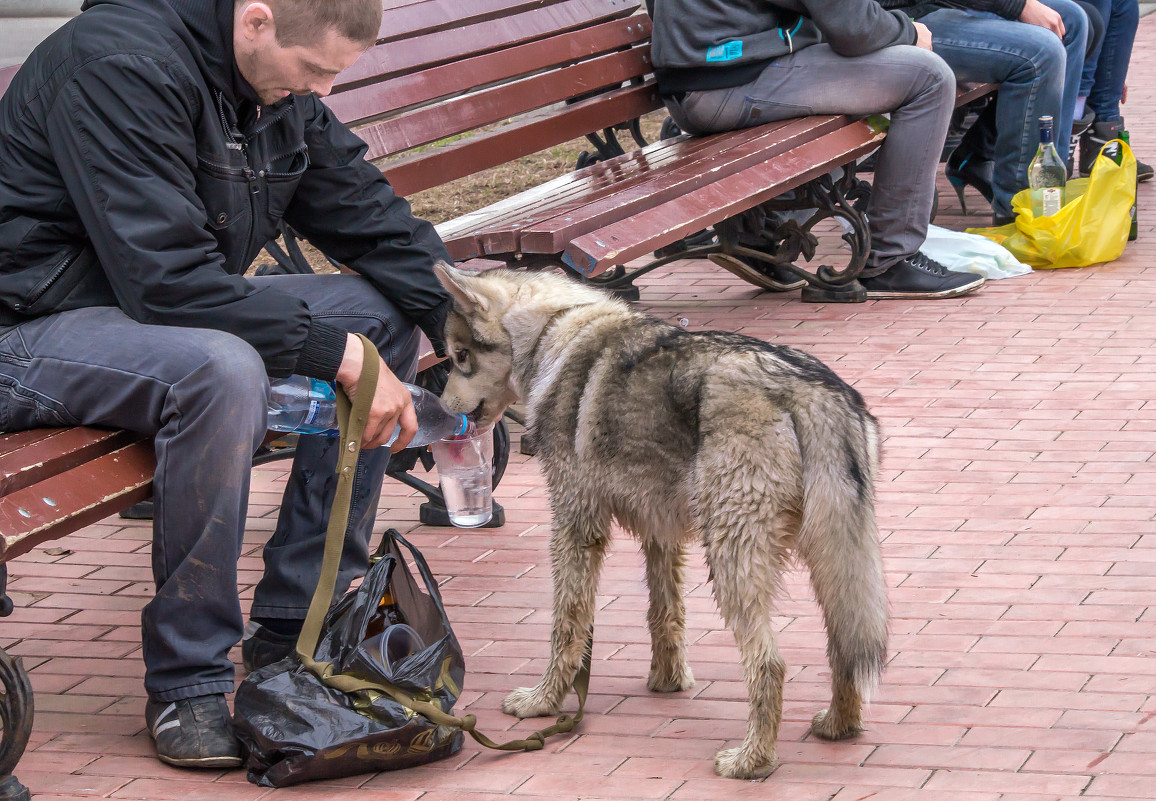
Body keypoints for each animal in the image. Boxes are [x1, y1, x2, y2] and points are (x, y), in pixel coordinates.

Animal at [434, 265, 883, 776]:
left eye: (460, 357)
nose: (440, 410)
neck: (554, 332)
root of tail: (814, 392)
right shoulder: (661, 531)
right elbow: (664, 614)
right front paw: (668, 681)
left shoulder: (575, 523)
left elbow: (567, 625)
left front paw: (543, 702)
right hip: (833, 562)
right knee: (846, 648)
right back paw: (838, 726)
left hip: (731, 561)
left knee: (770, 665)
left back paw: (751, 761)